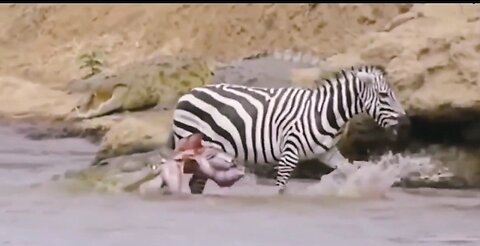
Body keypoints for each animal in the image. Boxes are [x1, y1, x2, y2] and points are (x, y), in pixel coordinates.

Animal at [168, 65, 408, 194]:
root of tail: (187, 93)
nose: (406, 124)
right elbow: (280, 189)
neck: (323, 112)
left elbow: (349, 169)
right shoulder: (289, 153)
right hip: (189, 143)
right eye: (384, 95)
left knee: (196, 183)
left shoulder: (327, 153)